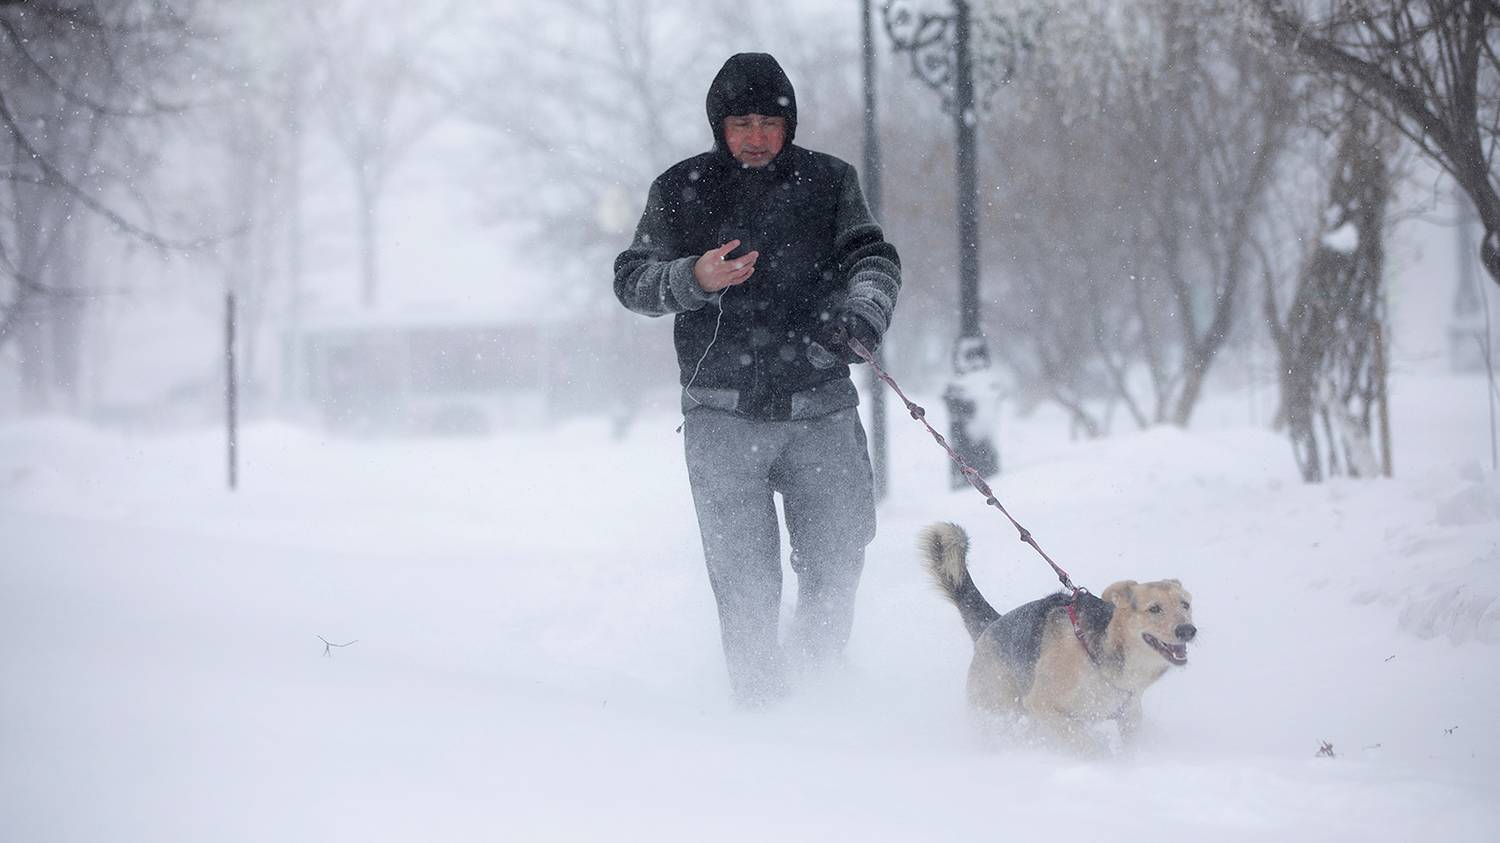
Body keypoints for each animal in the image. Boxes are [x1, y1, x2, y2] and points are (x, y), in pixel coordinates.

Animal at [912, 522, 1194, 750]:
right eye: (1154, 608)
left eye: (1185, 605)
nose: (1188, 630)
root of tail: (991, 625)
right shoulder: (1043, 705)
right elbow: (1088, 745)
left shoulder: (1129, 715)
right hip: (997, 708)